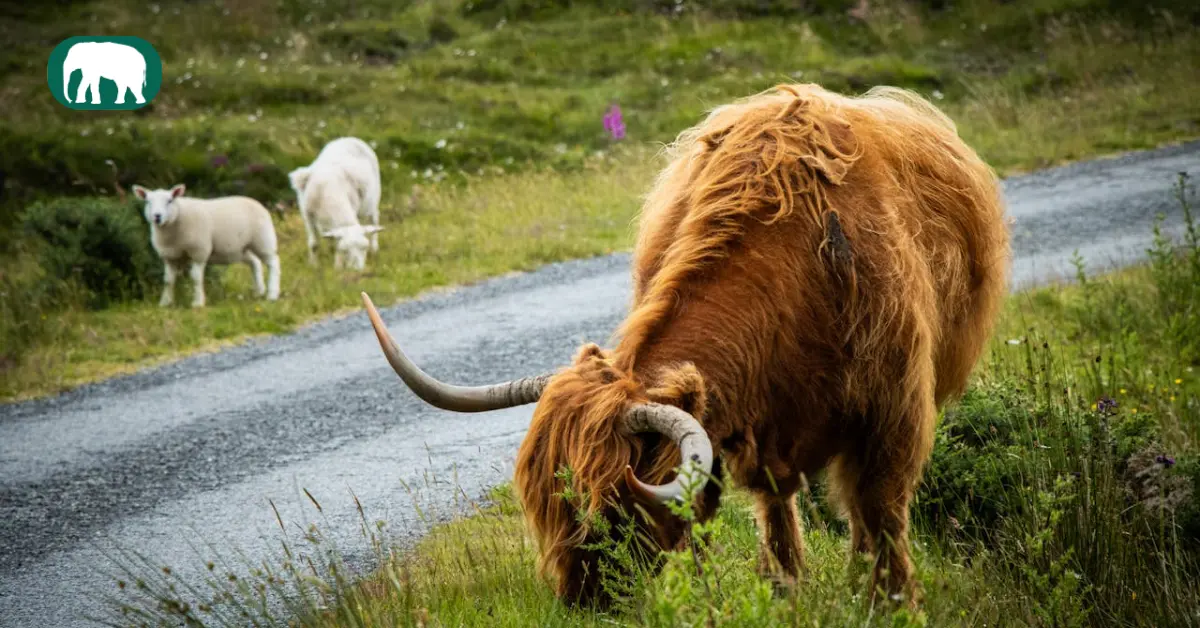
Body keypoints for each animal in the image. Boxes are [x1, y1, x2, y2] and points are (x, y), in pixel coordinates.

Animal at [360, 82, 1011, 608]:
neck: (795, 271)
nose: (585, 601)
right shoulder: (757, 434)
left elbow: (880, 512)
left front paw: (893, 602)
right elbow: (770, 508)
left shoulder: (894, 414)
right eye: (546, 505)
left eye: (612, 508)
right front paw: (781, 593)